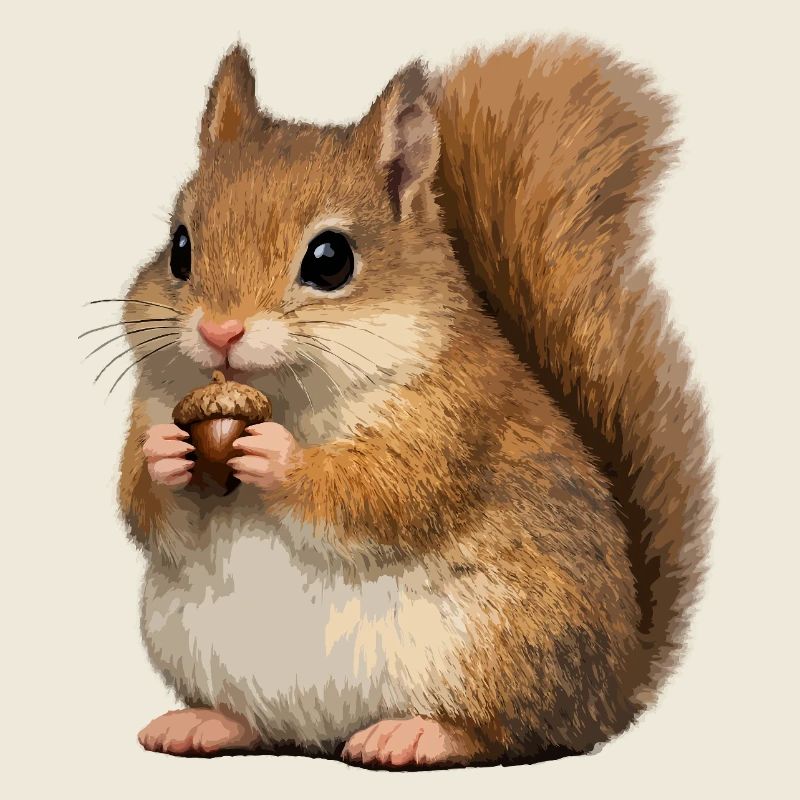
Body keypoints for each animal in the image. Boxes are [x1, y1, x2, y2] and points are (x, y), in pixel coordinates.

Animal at [115, 37, 712, 768]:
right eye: (179, 247)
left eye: (330, 259)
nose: (219, 332)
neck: (287, 396)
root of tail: (614, 688)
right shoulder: (152, 402)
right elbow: (146, 508)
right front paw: (164, 457)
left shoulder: (451, 417)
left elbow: (385, 492)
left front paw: (279, 458)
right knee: (261, 724)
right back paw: (207, 723)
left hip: (503, 644)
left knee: (511, 733)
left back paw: (416, 734)